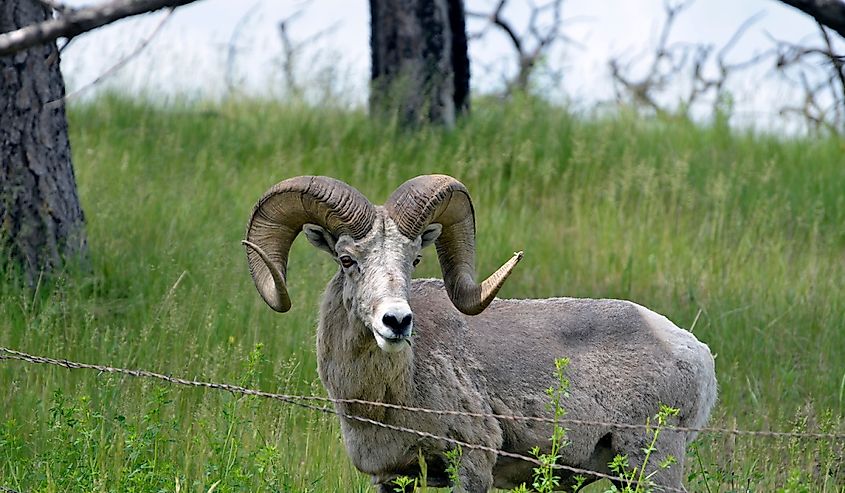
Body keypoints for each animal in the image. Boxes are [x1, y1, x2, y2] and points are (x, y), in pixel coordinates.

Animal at [241, 175, 716, 490]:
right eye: (346, 259)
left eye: (414, 260)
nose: (396, 322)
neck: (383, 398)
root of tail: (697, 354)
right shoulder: (389, 476)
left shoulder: (471, 462)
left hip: (650, 463)